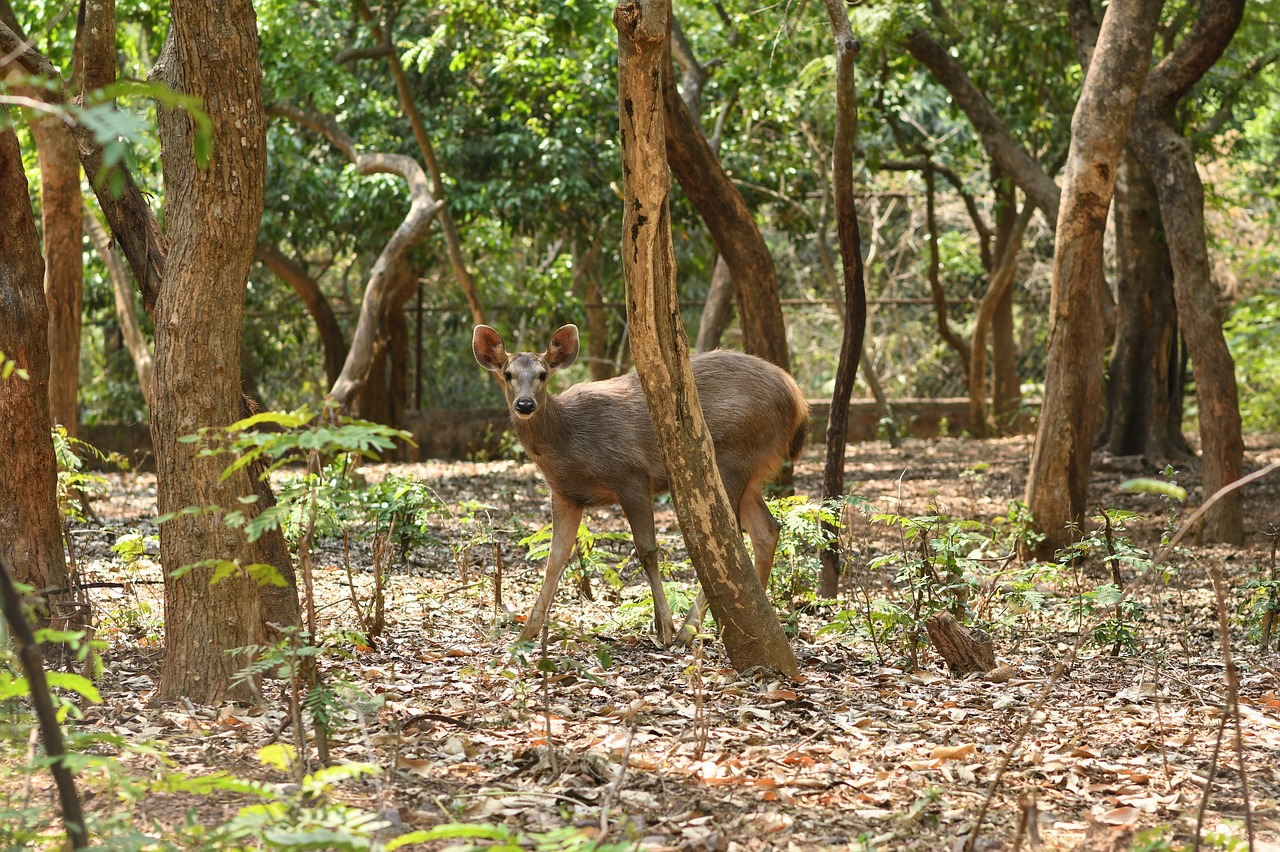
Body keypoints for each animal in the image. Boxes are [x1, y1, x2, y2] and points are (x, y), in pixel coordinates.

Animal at [471, 323, 808, 644]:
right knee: (766, 529)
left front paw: (665, 630)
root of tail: (798, 399)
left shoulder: (631, 475)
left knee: (728, 536)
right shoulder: (566, 494)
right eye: (508, 374)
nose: (525, 404)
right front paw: (525, 633)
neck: (568, 440)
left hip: (733, 456)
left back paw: (690, 630)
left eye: (543, 374)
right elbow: (555, 559)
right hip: (750, 469)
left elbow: (647, 552)